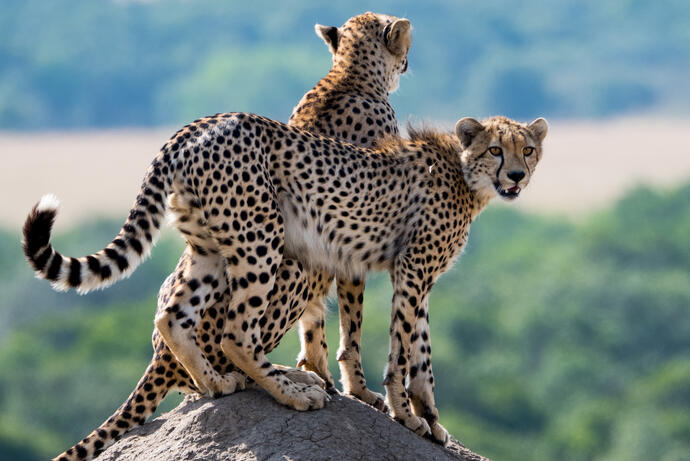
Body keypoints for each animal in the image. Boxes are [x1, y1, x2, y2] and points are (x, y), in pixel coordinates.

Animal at [22, 108, 548, 446]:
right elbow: (404, 353)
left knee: (173, 317)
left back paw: (218, 385)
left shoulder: (419, 279)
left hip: (208, 247)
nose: (517, 176)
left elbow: (422, 352)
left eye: (528, 149)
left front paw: (431, 422)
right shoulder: (412, 272)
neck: (464, 175)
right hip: (262, 239)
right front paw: (406, 414)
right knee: (236, 332)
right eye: (496, 149)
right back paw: (292, 392)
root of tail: (196, 126)